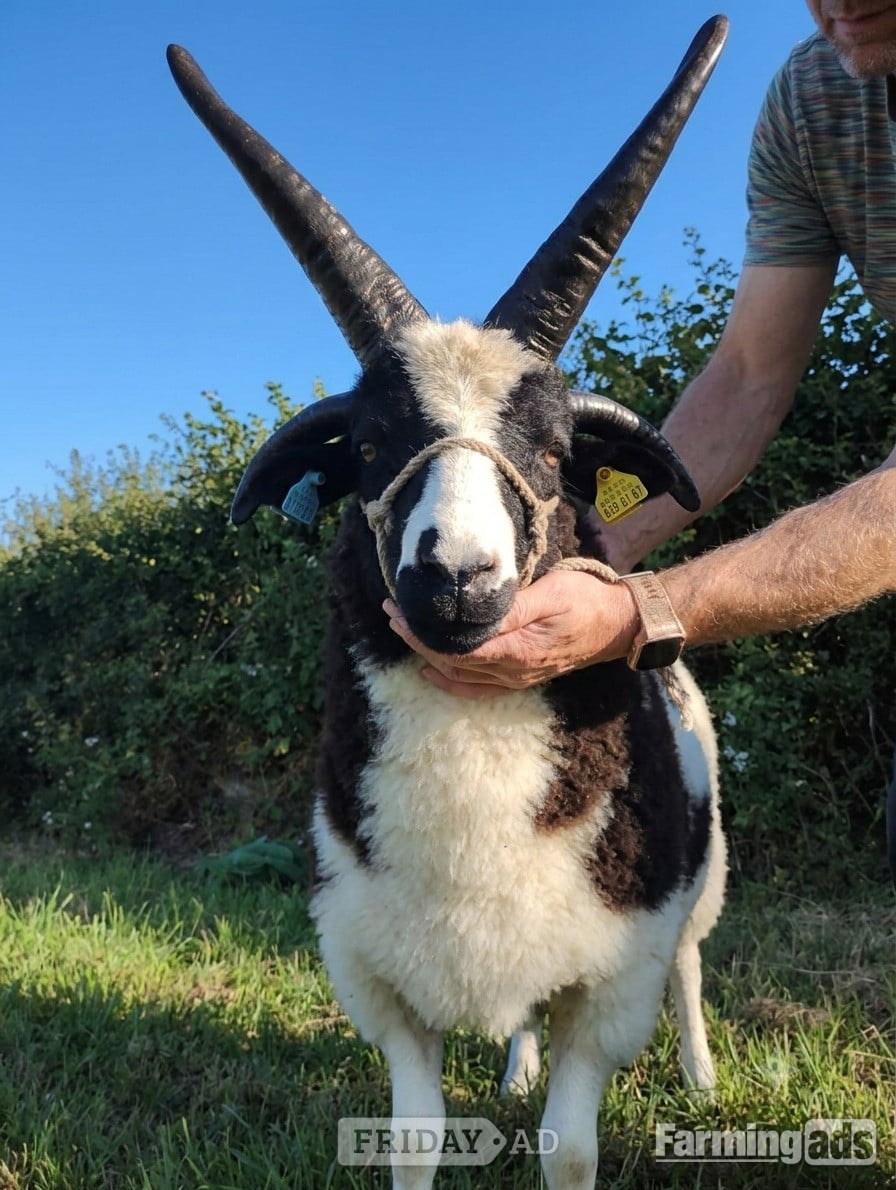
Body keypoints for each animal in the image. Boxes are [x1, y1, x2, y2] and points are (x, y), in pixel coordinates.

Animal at [168, 16, 729, 1189]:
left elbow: (569, 1149)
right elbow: (417, 1140)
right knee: (523, 1018)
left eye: (557, 453)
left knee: (695, 968)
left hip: (700, 883)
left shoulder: (613, 983)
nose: (456, 578)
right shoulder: (377, 980)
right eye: (371, 447)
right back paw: (512, 1069)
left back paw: (702, 1078)